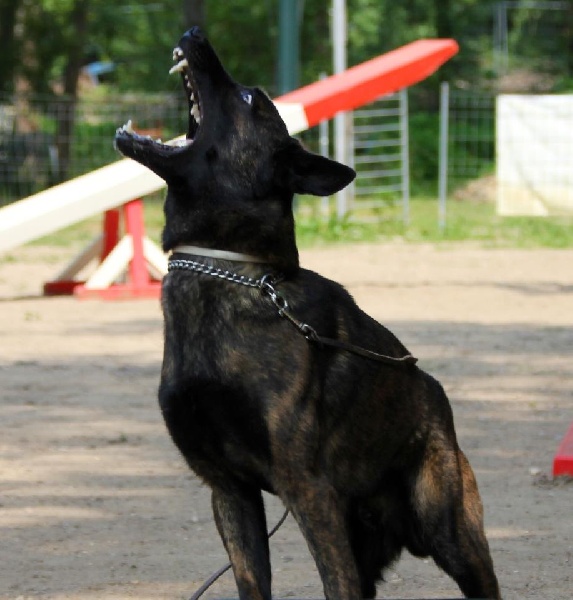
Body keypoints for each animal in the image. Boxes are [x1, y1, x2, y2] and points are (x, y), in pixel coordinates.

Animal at [115, 26, 501, 600]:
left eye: (248, 97)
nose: (193, 32)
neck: (234, 270)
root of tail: (435, 394)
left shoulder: (307, 490)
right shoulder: (230, 492)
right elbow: (253, 583)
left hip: (451, 533)